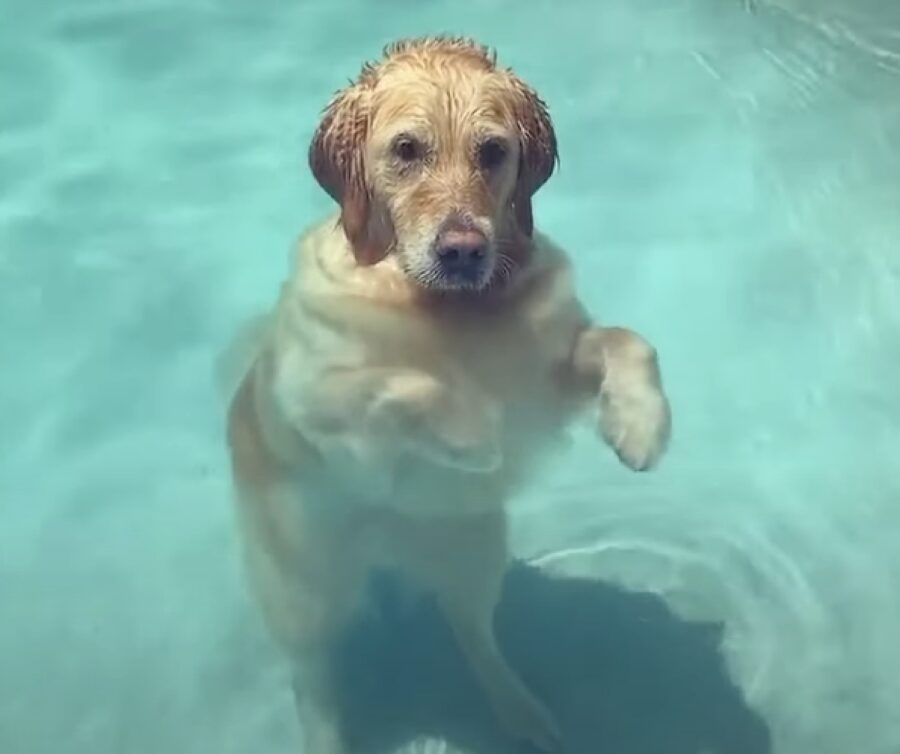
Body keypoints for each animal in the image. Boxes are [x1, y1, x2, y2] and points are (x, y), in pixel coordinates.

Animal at [224, 36, 668, 752]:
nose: (463, 250)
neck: (447, 308)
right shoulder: (314, 396)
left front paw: (641, 425)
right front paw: (470, 432)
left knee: (472, 634)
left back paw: (522, 712)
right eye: (406, 150)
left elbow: (629, 341)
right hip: (305, 592)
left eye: (492, 151)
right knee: (313, 679)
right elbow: (404, 384)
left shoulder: (543, 375)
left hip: (474, 551)